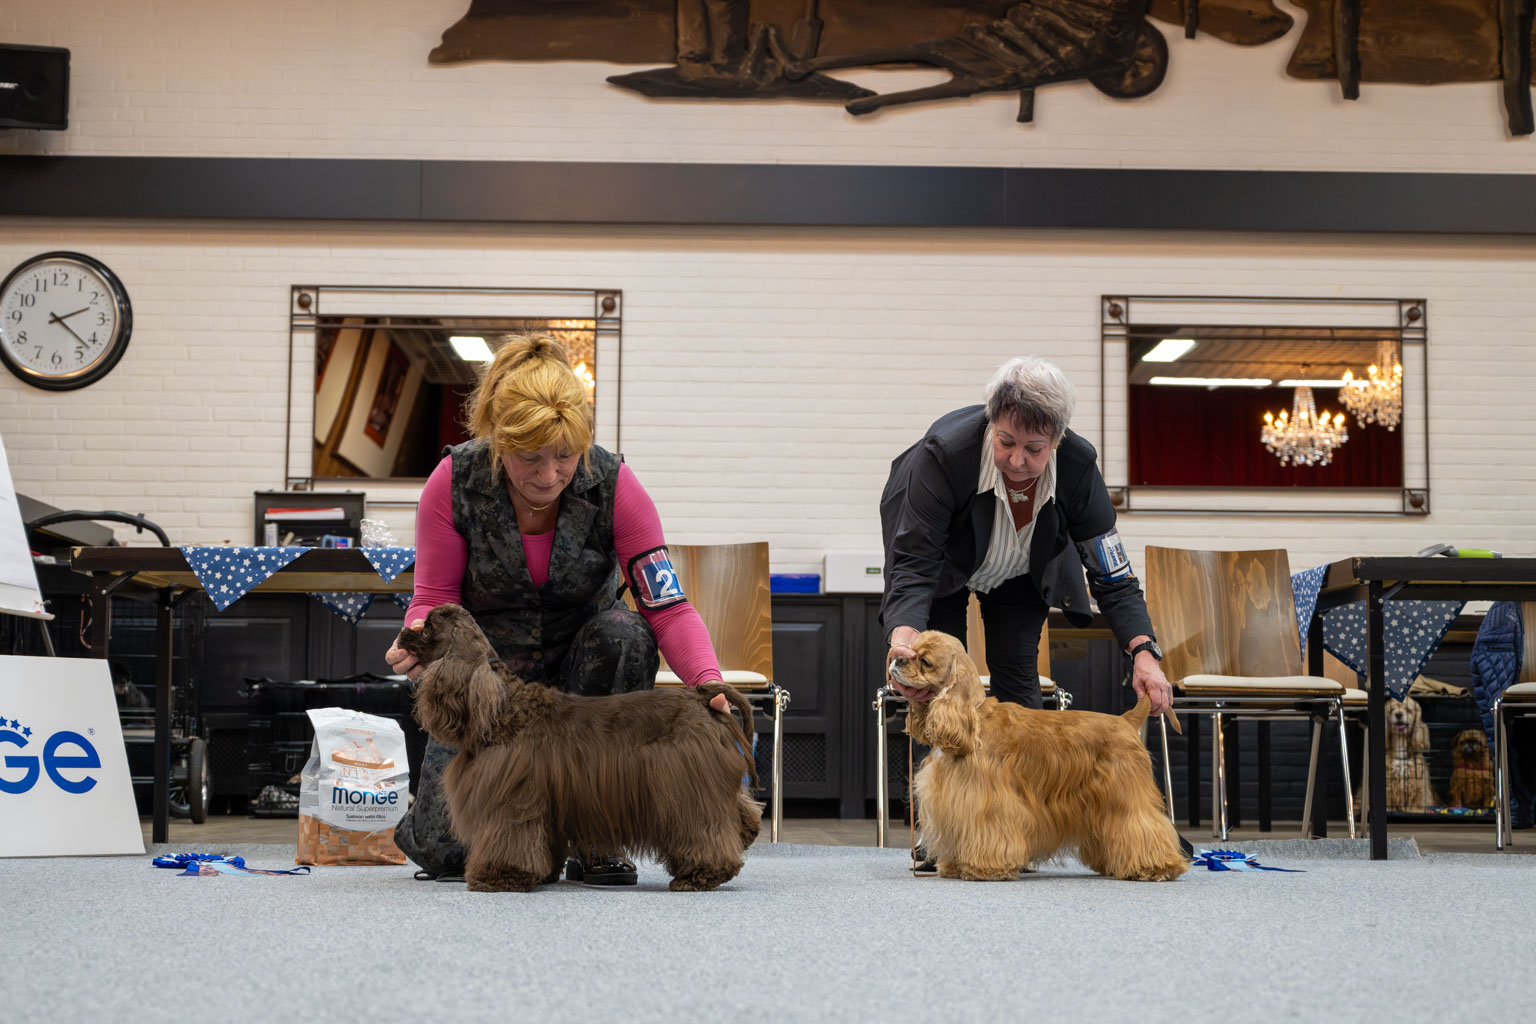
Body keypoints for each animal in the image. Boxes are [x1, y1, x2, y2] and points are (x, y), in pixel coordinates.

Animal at [396, 603, 761, 893]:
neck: (502, 708)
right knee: (740, 812)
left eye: (428, 627)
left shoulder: (511, 797)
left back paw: (700, 876)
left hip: (686, 791)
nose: (402, 633)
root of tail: (701, 697)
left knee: (705, 831)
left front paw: (499, 877)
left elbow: (508, 838)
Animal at [892, 630, 1187, 882]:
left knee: (1145, 825)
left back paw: (1156, 867)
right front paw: (953, 866)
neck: (973, 719)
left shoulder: (986, 800)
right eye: (910, 649)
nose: (896, 658)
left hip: (1126, 795)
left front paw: (983, 869)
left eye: (925, 660)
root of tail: (1125, 720)